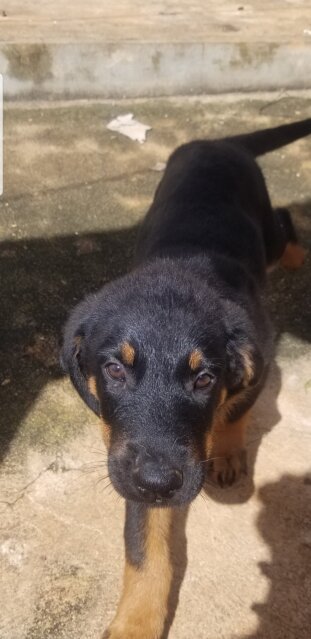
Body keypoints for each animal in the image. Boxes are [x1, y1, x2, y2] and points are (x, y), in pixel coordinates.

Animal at [61, 117, 311, 636]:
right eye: (114, 369)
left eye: (204, 380)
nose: (160, 484)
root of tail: (218, 141)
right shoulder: (136, 466)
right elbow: (145, 548)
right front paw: (136, 622)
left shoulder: (258, 362)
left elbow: (235, 412)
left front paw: (228, 452)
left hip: (267, 232)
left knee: (282, 220)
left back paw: (297, 254)